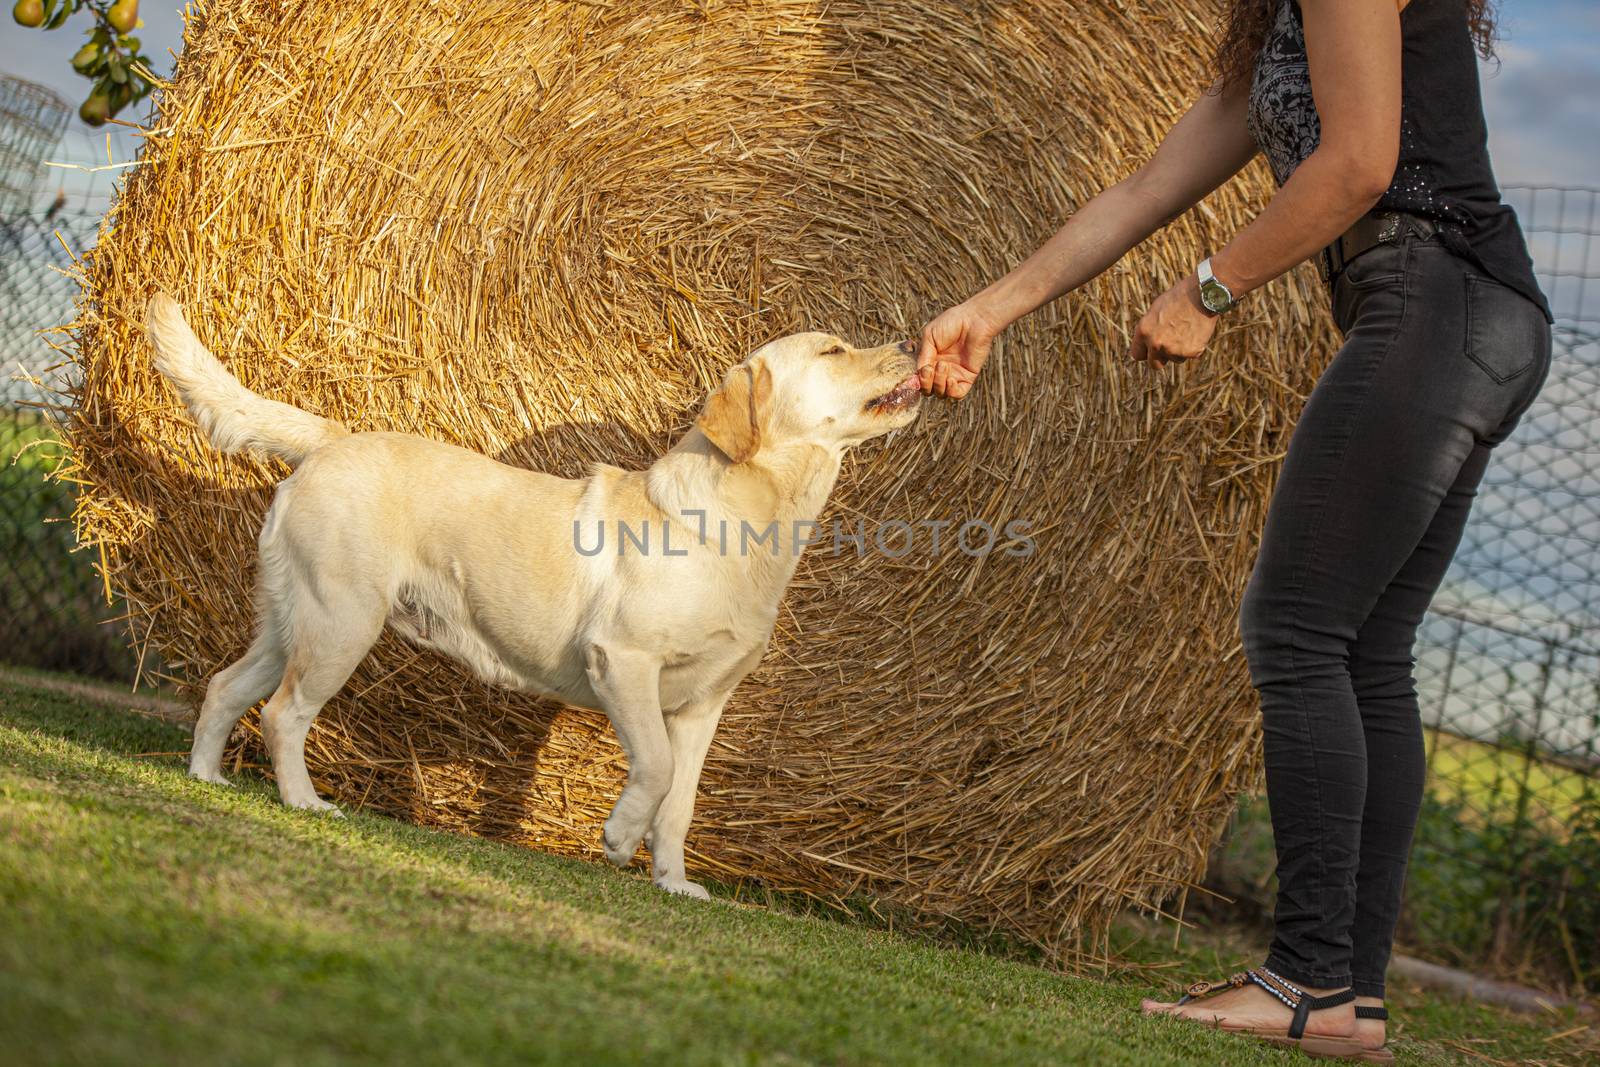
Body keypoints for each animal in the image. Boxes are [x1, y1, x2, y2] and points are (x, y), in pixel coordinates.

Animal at [150, 294, 928, 902]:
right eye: (833, 349)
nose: (913, 341)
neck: (751, 521)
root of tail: (334, 438)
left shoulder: (705, 703)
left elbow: (680, 802)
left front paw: (675, 883)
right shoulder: (624, 662)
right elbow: (655, 767)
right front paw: (618, 836)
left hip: (290, 624)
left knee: (224, 688)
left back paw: (206, 779)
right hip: (342, 624)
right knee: (283, 713)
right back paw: (305, 802)